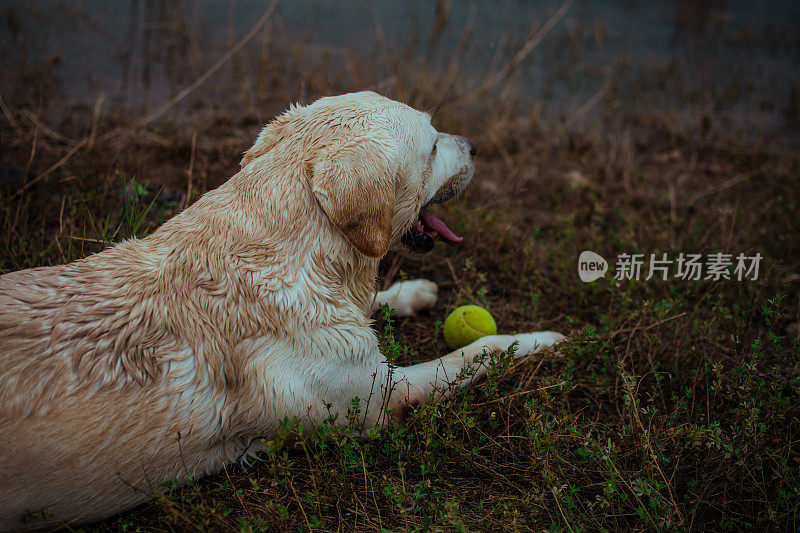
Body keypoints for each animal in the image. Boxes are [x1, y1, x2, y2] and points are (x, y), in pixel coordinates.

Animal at [0, 91, 564, 528]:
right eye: (431, 145)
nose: (474, 145)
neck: (288, 246)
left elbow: (373, 303)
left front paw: (412, 292)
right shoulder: (378, 399)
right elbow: (474, 353)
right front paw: (542, 341)